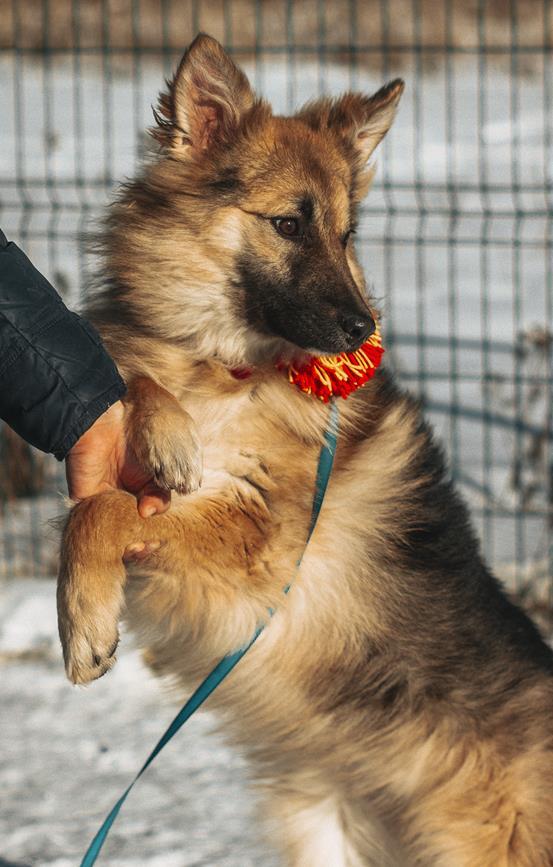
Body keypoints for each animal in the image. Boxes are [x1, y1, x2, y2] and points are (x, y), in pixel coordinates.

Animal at [56, 34, 552, 867]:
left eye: (346, 235)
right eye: (289, 224)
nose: (362, 328)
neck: (229, 371)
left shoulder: (254, 548)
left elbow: (97, 511)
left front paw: (82, 620)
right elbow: (127, 393)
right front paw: (165, 431)